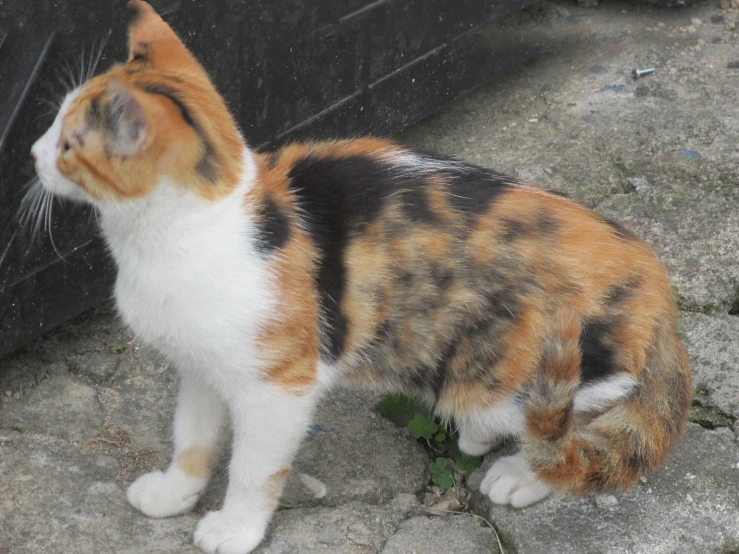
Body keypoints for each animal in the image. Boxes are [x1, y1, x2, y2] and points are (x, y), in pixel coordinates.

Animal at [30, 2, 692, 548]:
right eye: (53, 127)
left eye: (68, 144)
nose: (32, 154)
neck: (172, 233)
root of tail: (650, 272)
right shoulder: (200, 362)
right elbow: (192, 434)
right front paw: (175, 492)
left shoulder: (280, 384)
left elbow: (253, 467)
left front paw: (236, 528)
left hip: (515, 370)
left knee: (579, 422)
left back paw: (518, 471)